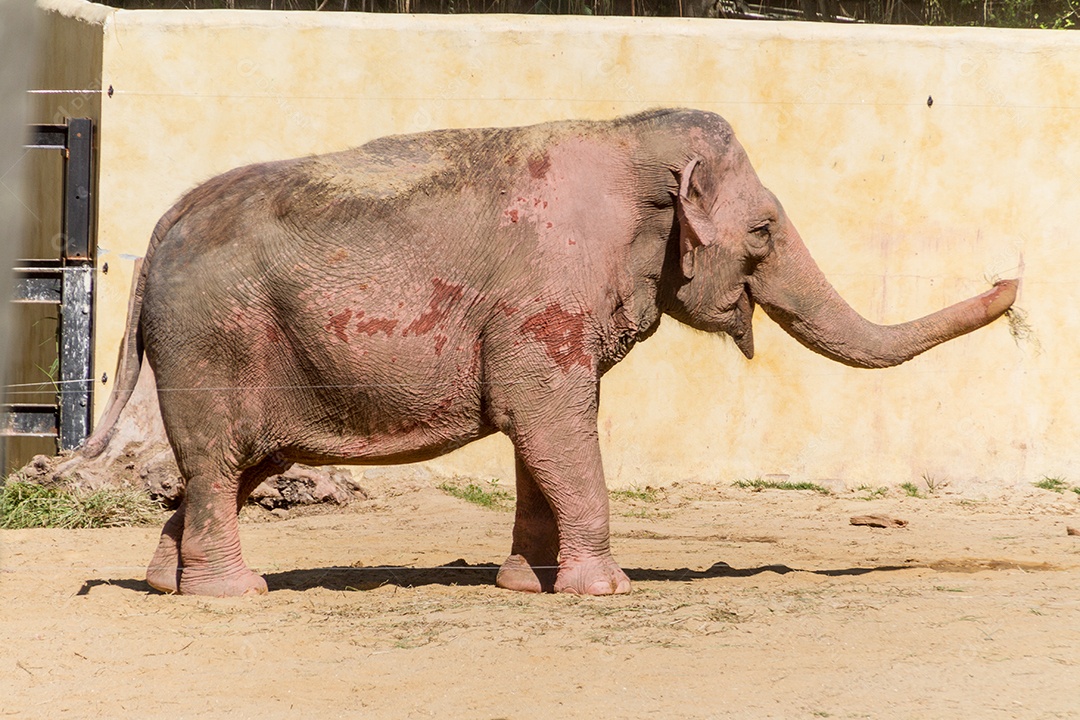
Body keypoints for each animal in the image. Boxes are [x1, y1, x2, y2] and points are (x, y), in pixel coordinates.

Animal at [83, 108, 1017, 597]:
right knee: (217, 462)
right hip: (213, 340)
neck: (628, 138)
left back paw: (167, 585)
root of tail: (158, 229)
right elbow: (552, 421)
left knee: (235, 469)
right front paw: (605, 590)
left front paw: (526, 585)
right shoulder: (543, 302)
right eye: (762, 232)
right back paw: (233, 595)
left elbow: (541, 433)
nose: (1013, 283)